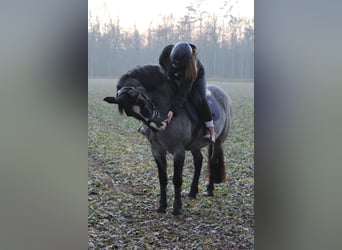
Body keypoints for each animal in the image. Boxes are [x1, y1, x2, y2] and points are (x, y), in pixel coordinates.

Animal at [103, 65, 232, 215]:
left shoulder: (178, 151)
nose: (159, 125)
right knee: (198, 161)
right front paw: (162, 206)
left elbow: (177, 179)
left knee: (212, 160)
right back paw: (193, 191)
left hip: (218, 141)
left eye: (142, 103)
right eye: (131, 114)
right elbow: (162, 178)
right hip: (195, 145)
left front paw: (177, 207)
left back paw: (210, 189)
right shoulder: (157, 150)